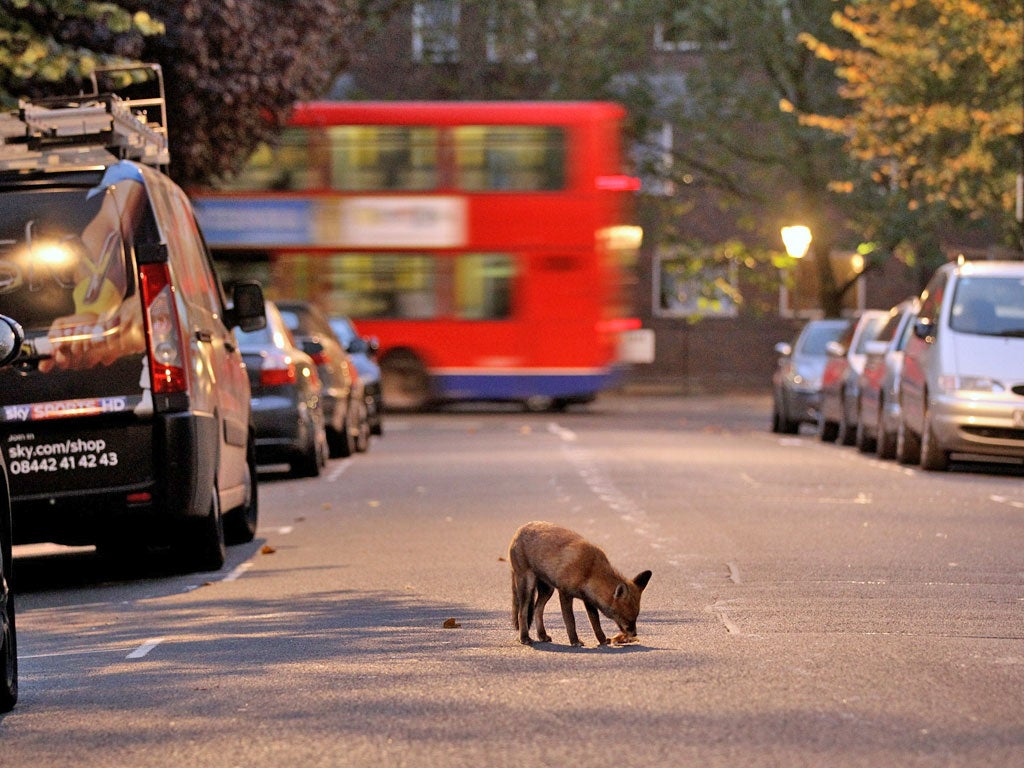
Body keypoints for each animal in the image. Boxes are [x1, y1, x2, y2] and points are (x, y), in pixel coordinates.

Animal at [508, 521, 652, 647]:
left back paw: (542, 635)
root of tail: (520, 529)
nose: (634, 634)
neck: (590, 570)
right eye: (626, 618)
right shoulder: (565, 593)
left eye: (636, 616)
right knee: (522, 612)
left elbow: (595, 622)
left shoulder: (589, 598)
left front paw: (602, 640)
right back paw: (524, 638)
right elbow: (570, 621)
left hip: (548, 590)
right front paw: (575, 641)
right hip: (527, 585)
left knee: (537, 609)